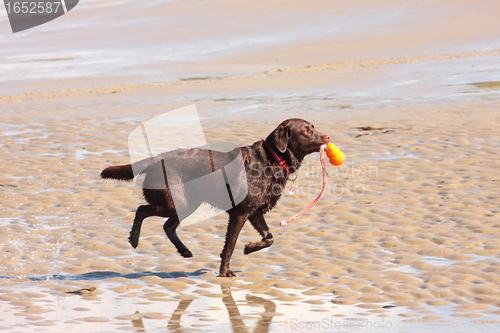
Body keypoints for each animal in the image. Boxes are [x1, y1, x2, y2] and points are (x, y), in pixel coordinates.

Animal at [100, 118, 328, 276]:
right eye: (306, 131)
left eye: (313, 127)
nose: (327, 137)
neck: (273, 159)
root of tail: (156, 159)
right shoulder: (239, 213)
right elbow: (230, 246)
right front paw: (225, 272)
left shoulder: (255, 212)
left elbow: (270, 238)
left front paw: (249, 248)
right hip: (176, 202)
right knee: (142, 210)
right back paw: (134, 239)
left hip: (187, 203)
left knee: (167, 226)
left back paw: (184, 251)